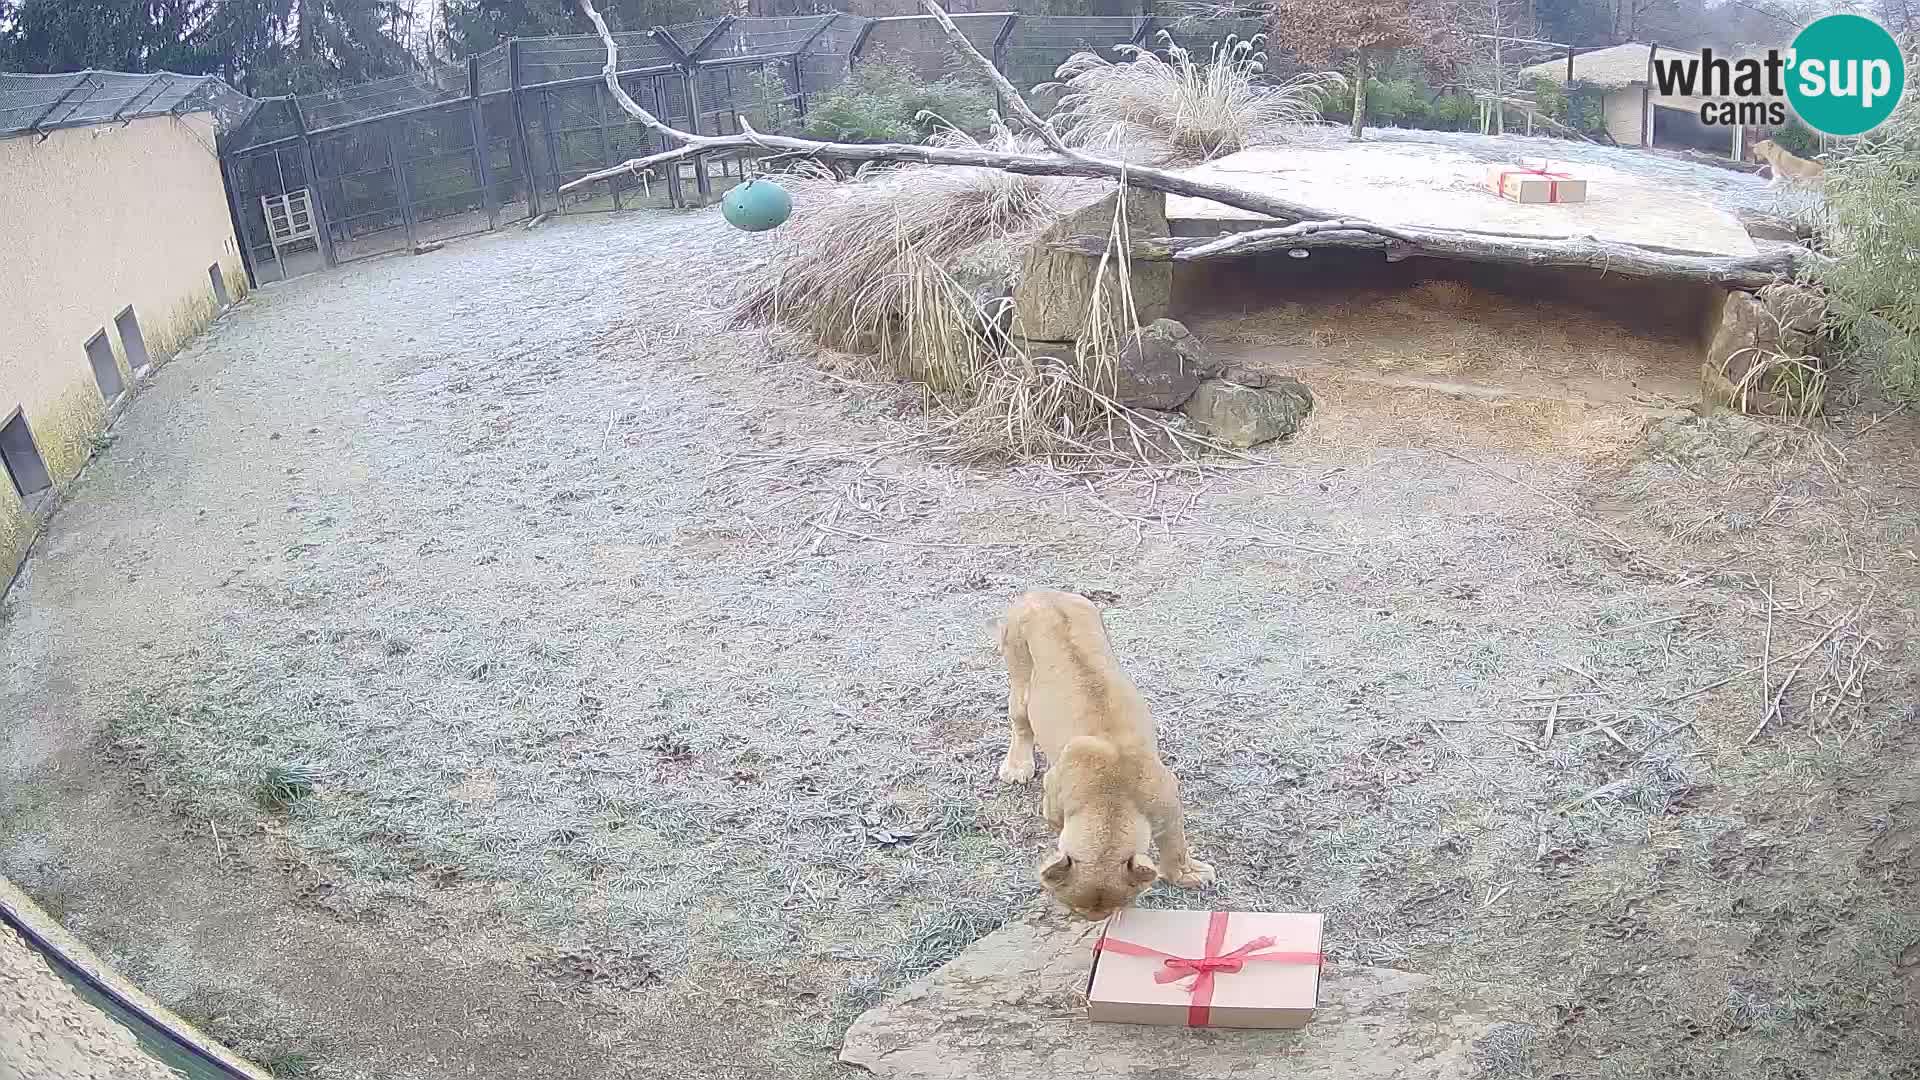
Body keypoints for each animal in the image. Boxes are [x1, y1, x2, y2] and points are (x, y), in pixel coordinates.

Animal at [990, 588, 1213, 914]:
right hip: (1019, 670)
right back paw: (1017, 766)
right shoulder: (1053, 798)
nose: (1095, 923)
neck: (1110, 801)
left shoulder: (1168, 804)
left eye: (1117, 910)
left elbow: (1176, 846)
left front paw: (1187, 874)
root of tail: (1041, 593)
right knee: (1021, 723)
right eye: (1077, 911)